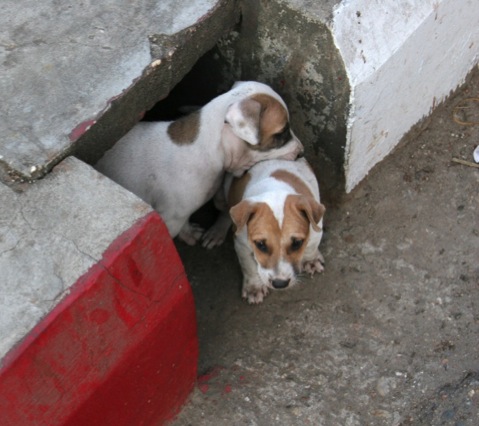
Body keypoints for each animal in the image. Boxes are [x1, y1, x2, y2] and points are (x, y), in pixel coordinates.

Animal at [228, 158, 326, 304]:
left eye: (297, 243)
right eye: (260, 245)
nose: (280, 284)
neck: (275, 188)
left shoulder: (316, 230)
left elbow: (311, 247)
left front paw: (311, 261)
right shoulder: (241, 243)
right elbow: (248, 265)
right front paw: (254, 287)